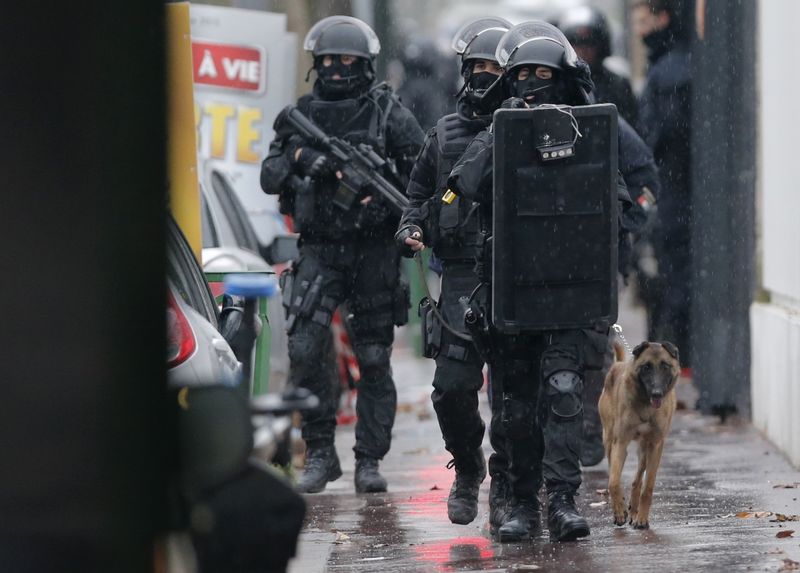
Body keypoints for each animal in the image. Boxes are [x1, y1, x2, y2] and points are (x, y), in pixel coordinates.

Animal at [596, 338, 680, 528]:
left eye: (665, 366)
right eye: (646, 367)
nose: (657, 393)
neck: (646, 406)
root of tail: (618, 364)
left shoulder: (655, 445)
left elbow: (647, 487)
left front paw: (641, 518)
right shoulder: (620, 443)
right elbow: (613, 481)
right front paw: (619, 511)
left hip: (644, 449)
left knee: (638, 479)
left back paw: (634, 510)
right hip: (609, 441)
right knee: (616, 472)